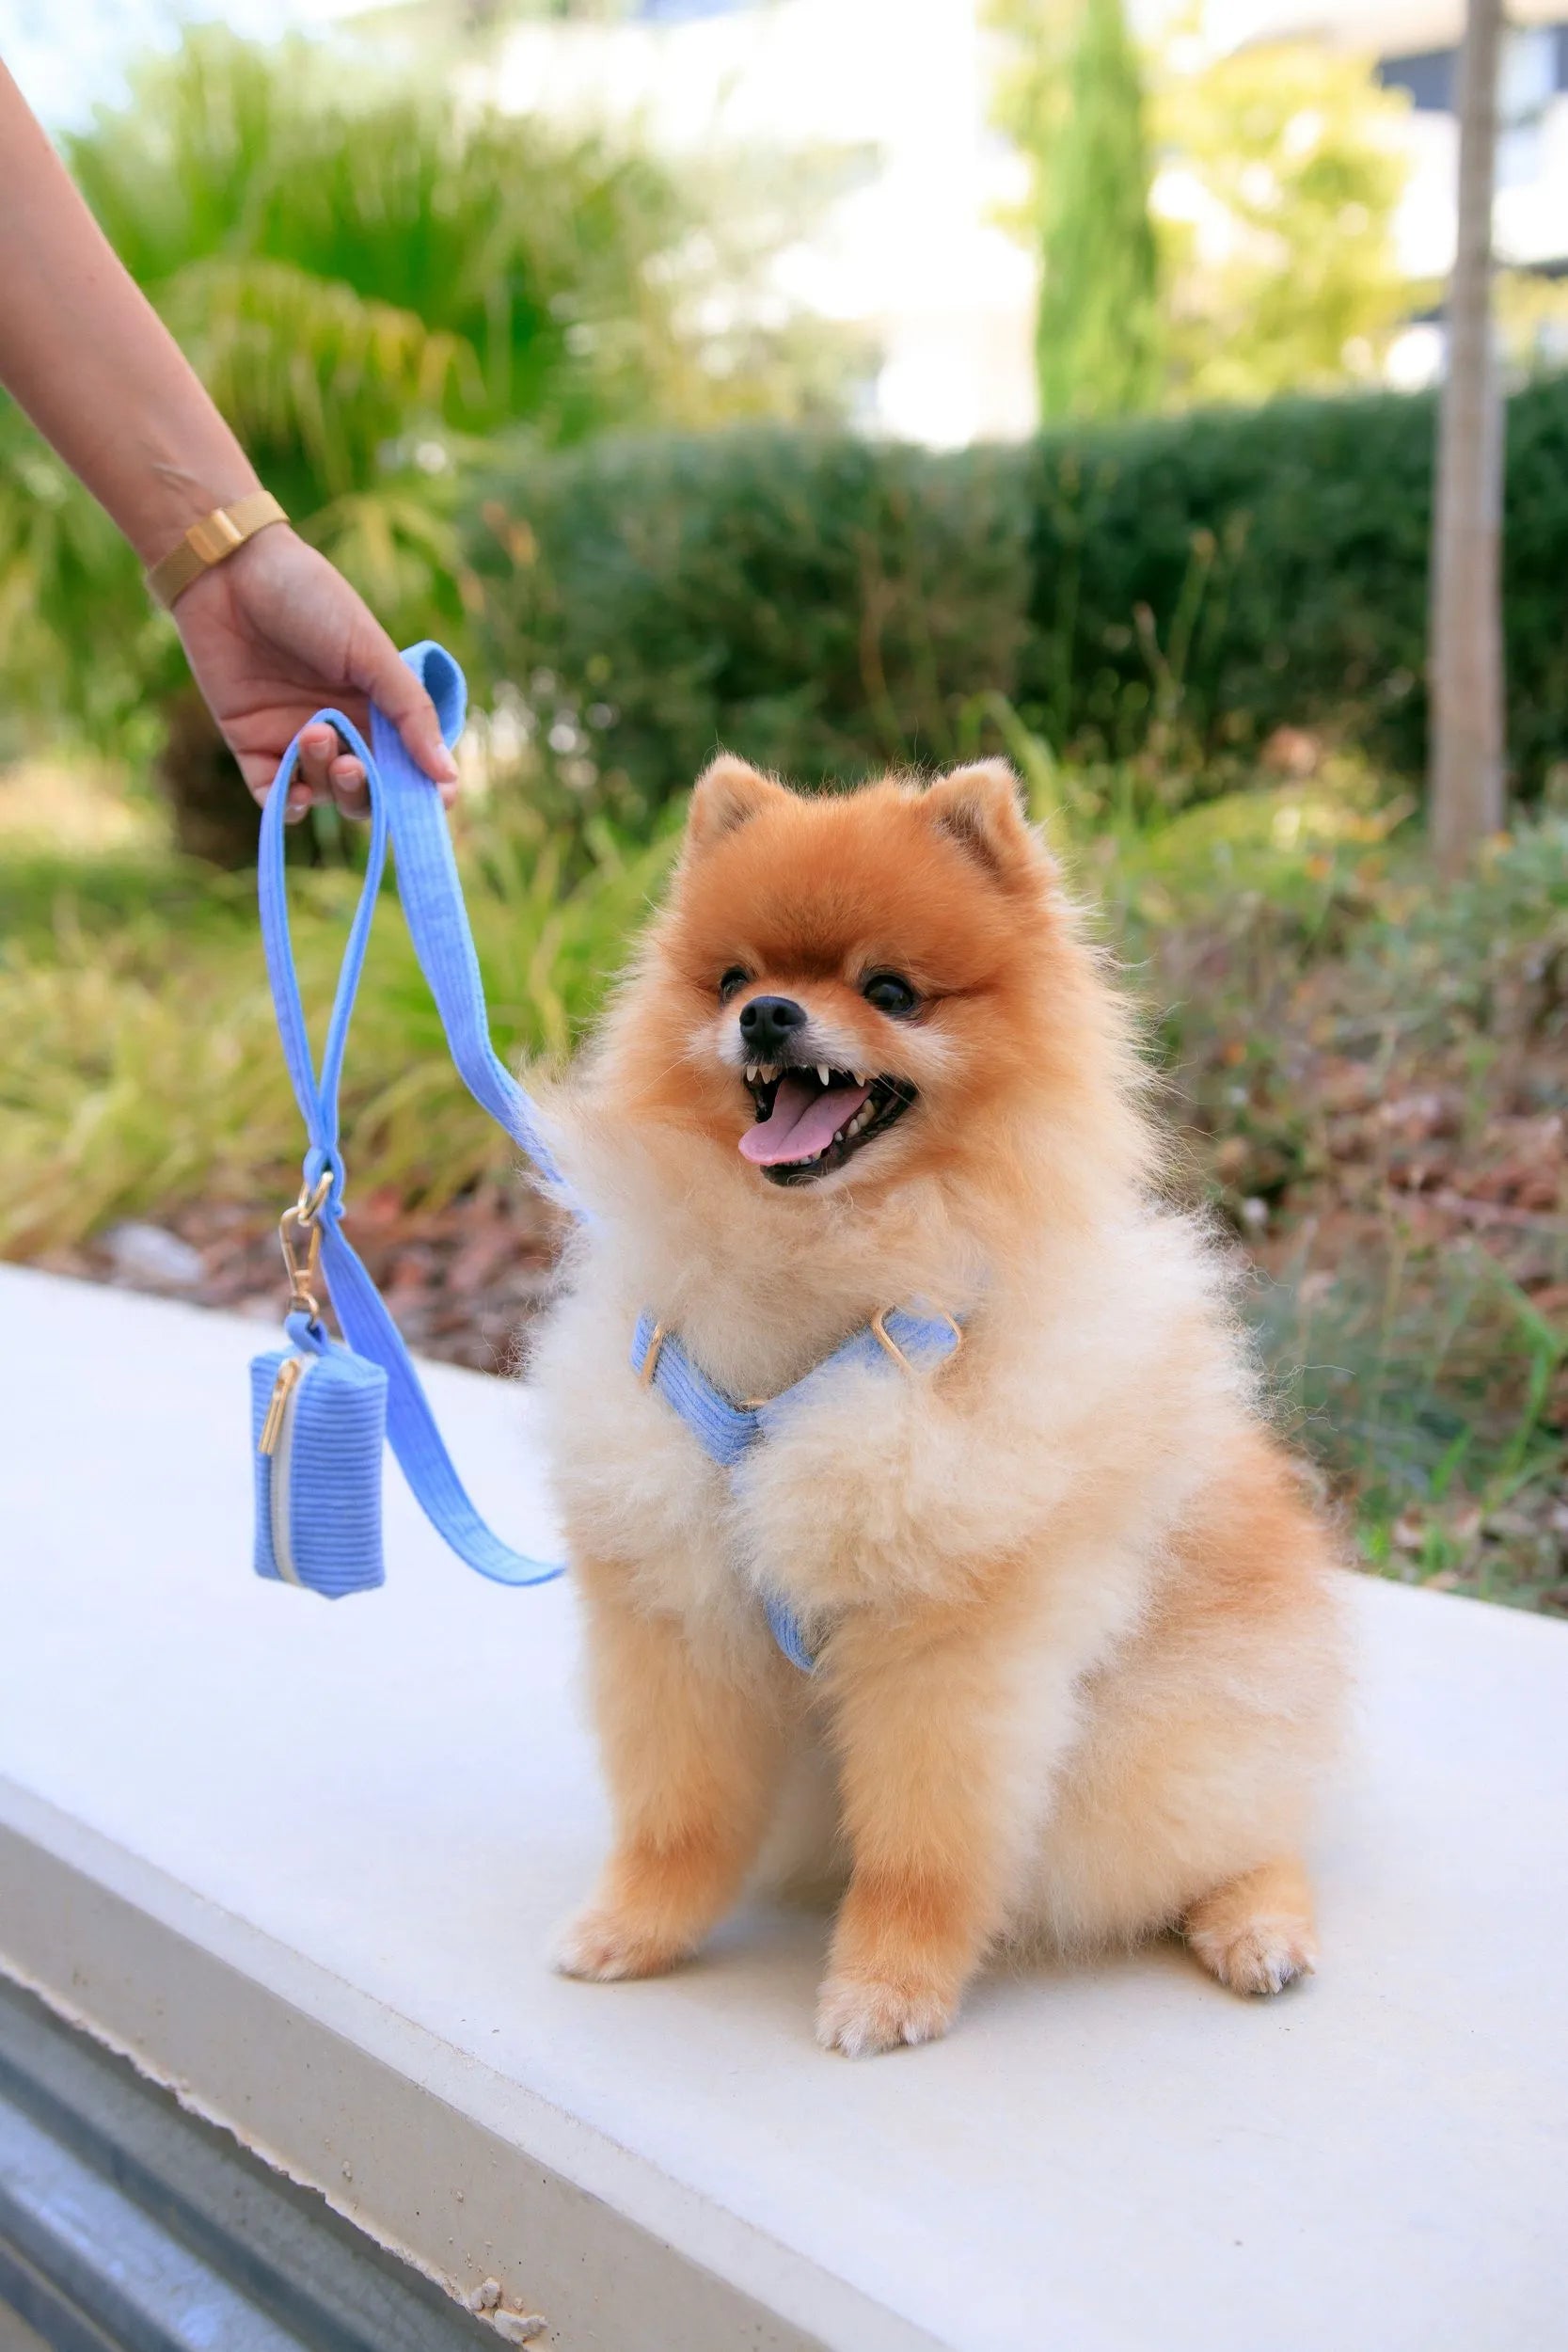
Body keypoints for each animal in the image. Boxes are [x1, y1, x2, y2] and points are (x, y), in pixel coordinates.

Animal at [533, 757, 1344, 2060]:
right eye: (731, 979)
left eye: (890, 991)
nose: (768, 1016)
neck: (812, 1295)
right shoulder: (677, 1612)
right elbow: (678, 1814)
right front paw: (636, 1928)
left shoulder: (947, 1643)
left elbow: (923, 1848)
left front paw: (886, 1984)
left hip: (1161, 1745)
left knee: (1242, 1830)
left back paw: (1255, 1924)